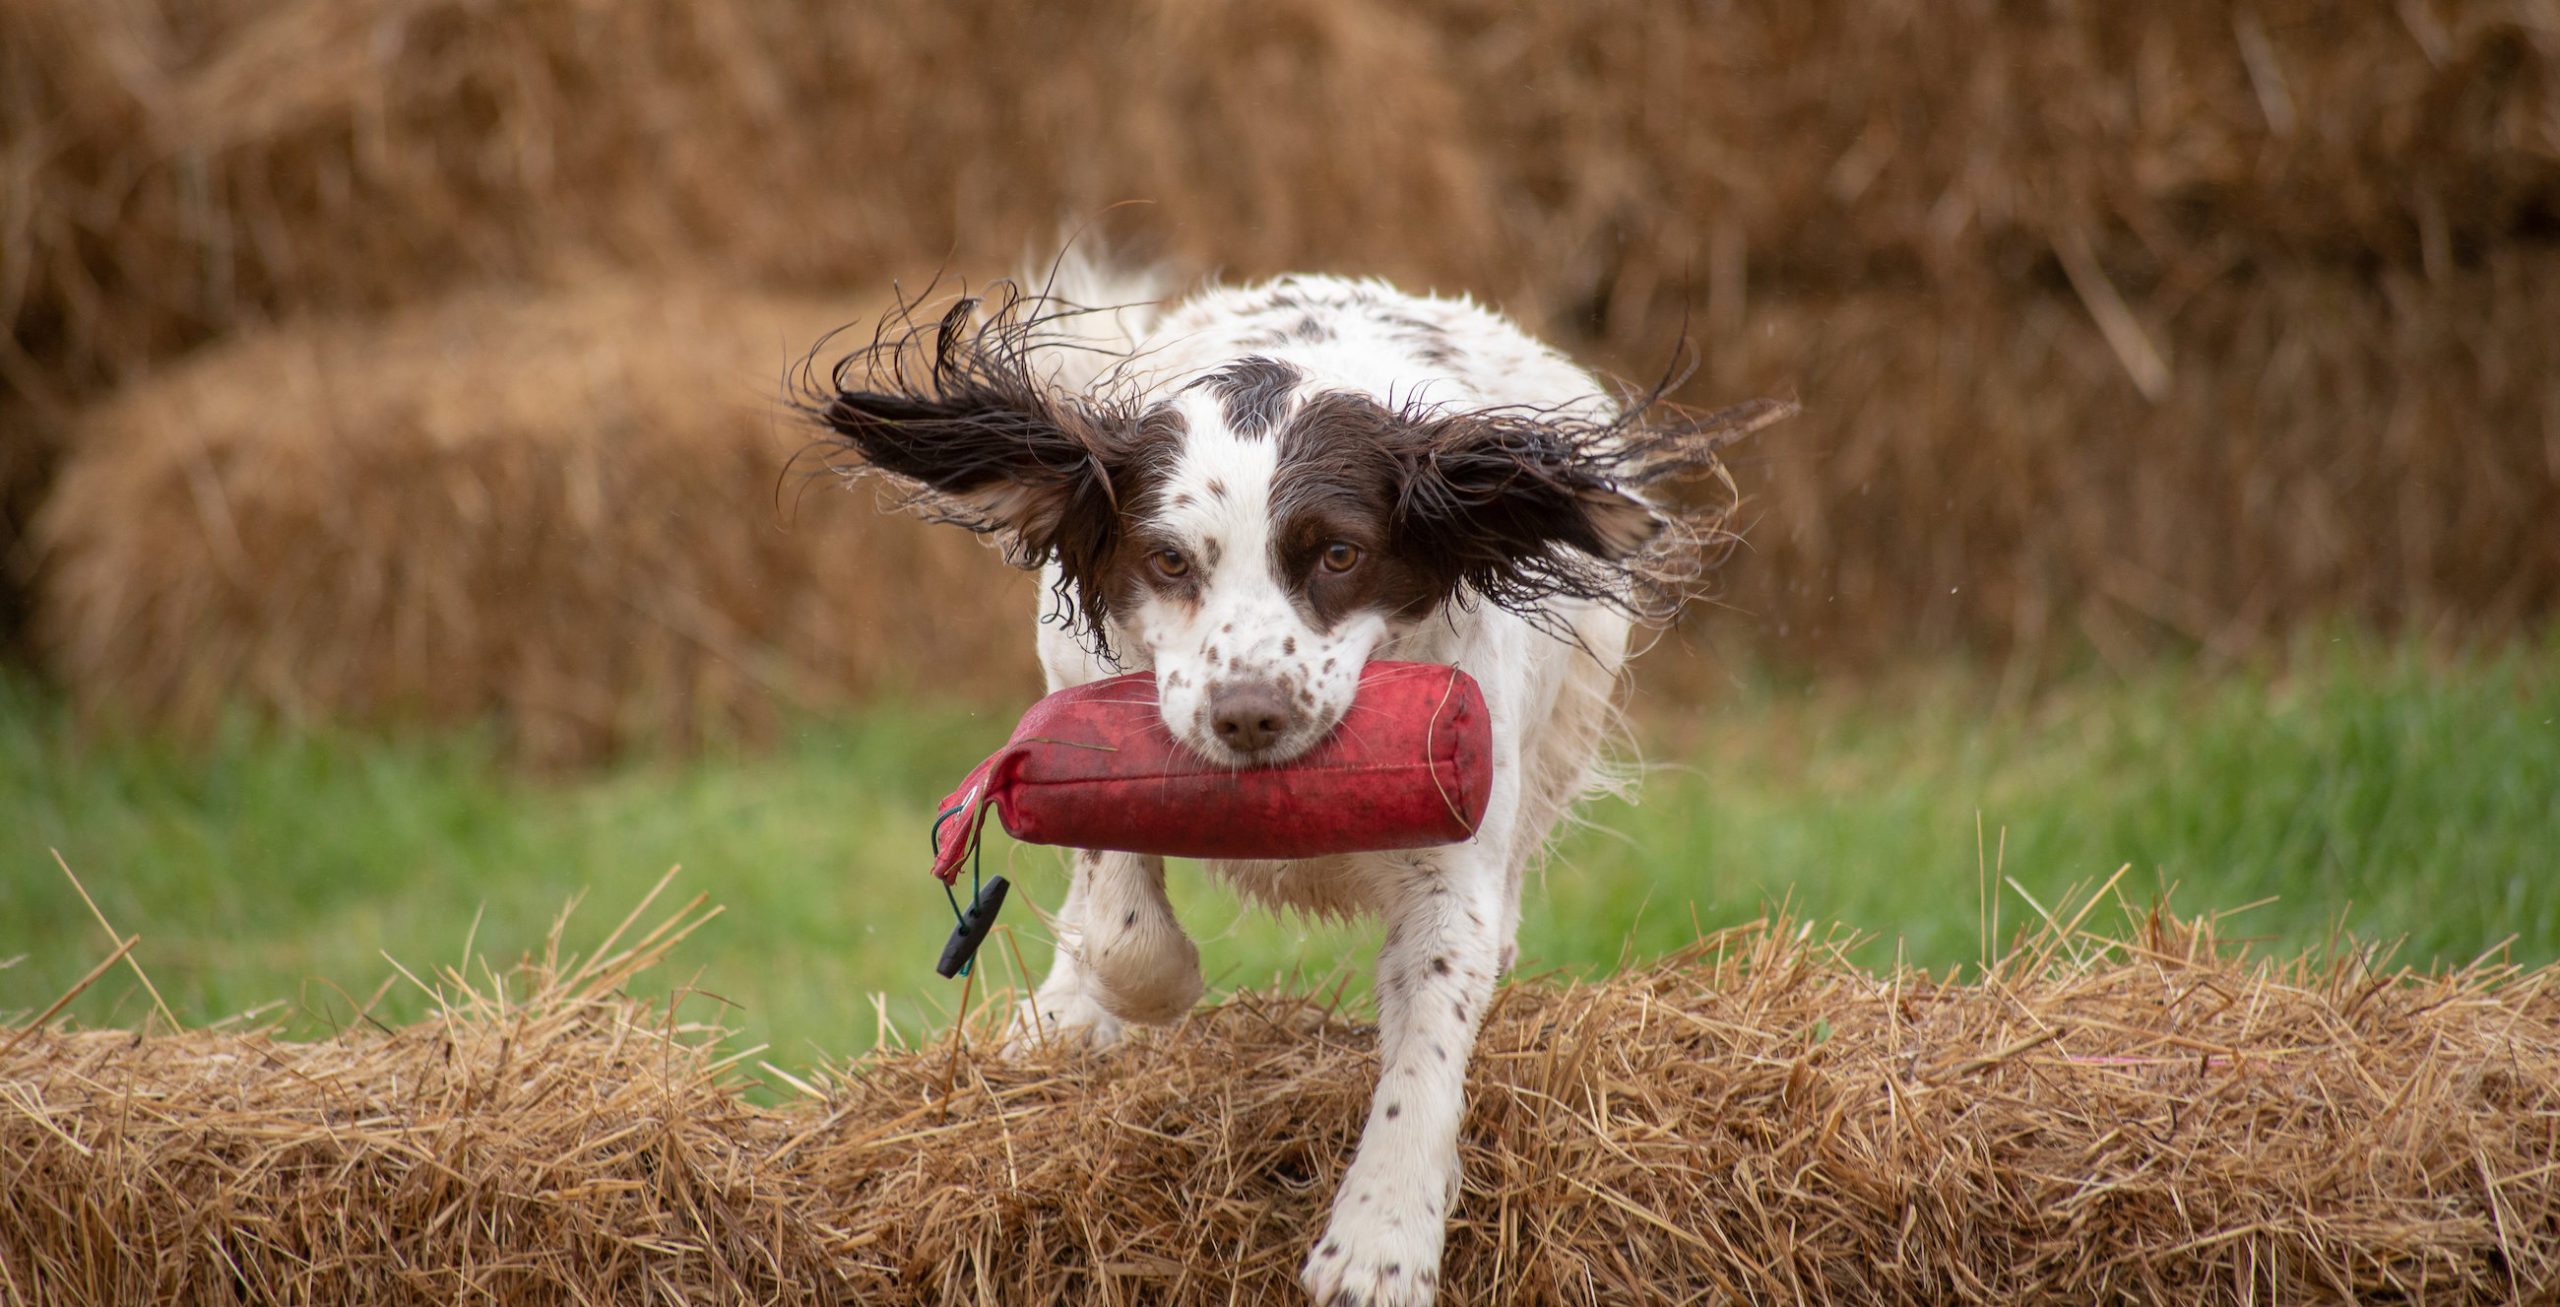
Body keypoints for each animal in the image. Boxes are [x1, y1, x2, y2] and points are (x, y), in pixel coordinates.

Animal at [798, 258, 1781, 1307]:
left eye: (1340, 553)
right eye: (1168, 559)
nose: (1249, 713)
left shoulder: (1453, 860)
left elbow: (1432, 1034)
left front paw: (1381, 1240)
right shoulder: (1079, 689)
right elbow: (1123, 926)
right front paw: (1127, 994)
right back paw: (1063, 1011)